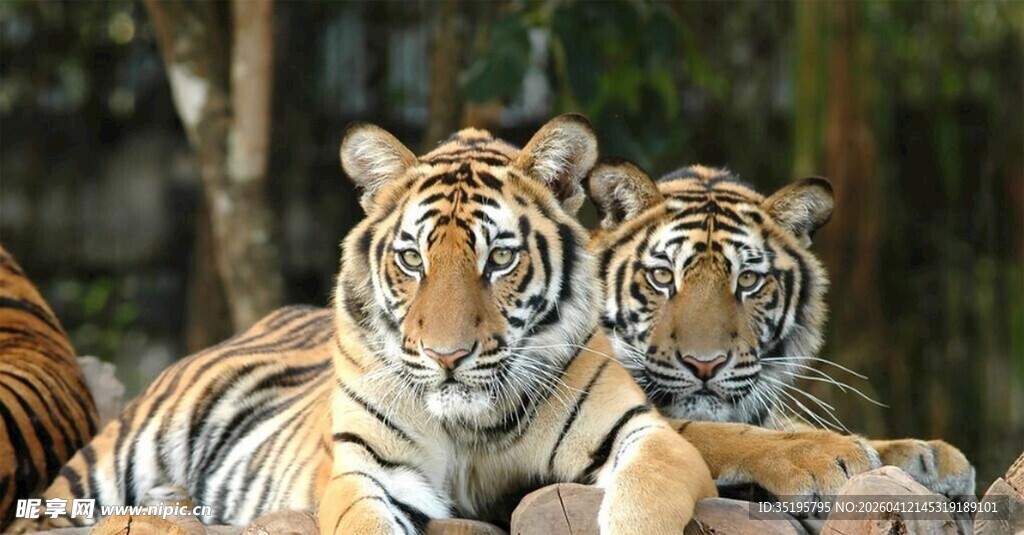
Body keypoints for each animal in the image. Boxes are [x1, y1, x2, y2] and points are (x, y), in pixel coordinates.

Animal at [585, 160, 976, 501]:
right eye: (662, 276)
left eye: (747, 280)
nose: (704, 364)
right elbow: (716, 432)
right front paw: (826, 453)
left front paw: (929, 456)